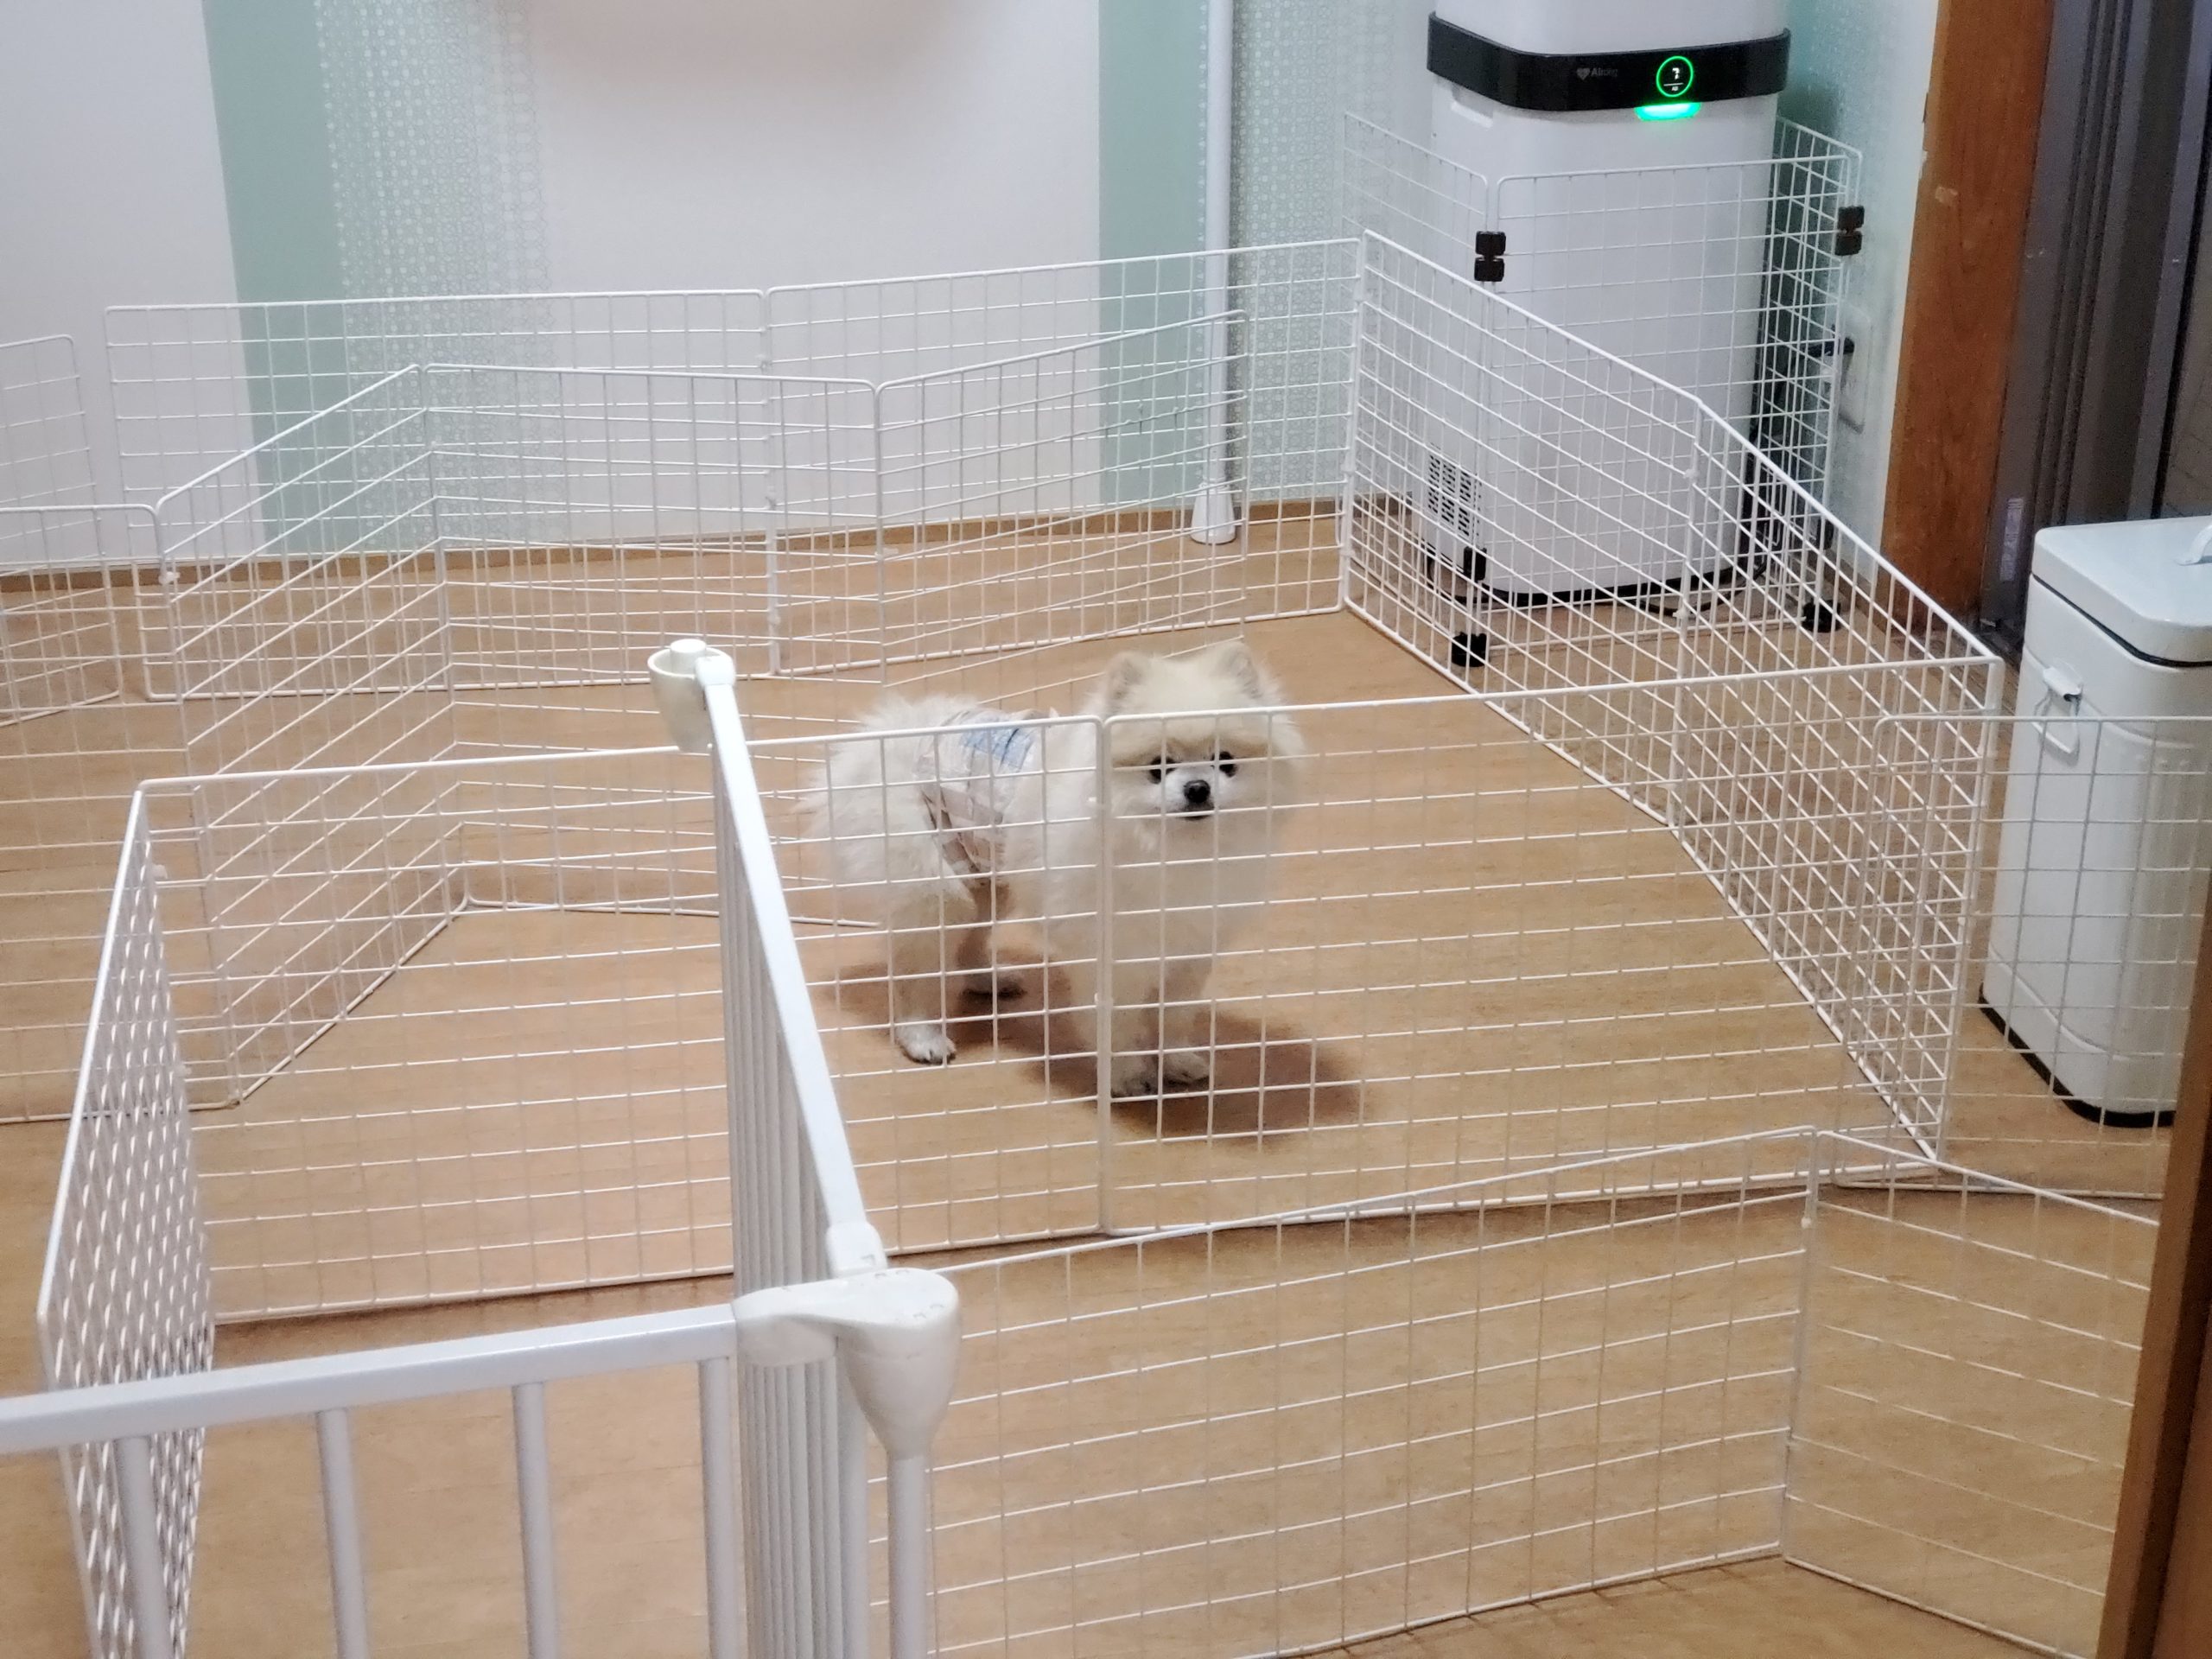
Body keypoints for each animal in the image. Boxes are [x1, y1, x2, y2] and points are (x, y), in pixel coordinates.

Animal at [806, 640, 1305, 1095]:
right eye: (1158, 768)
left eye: (1226, 762)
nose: (1198, 788)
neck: (1175, 847)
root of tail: (894, 735)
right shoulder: (1112, 953)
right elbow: (1116, 1024)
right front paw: (1125, 1077)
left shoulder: (1190, 947)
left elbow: (1176, 1015)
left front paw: (1178, 1061)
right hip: (935, 887)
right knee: (917, 973)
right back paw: (922, 1038)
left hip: (985, 875)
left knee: (971, 937)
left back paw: (988, 979)